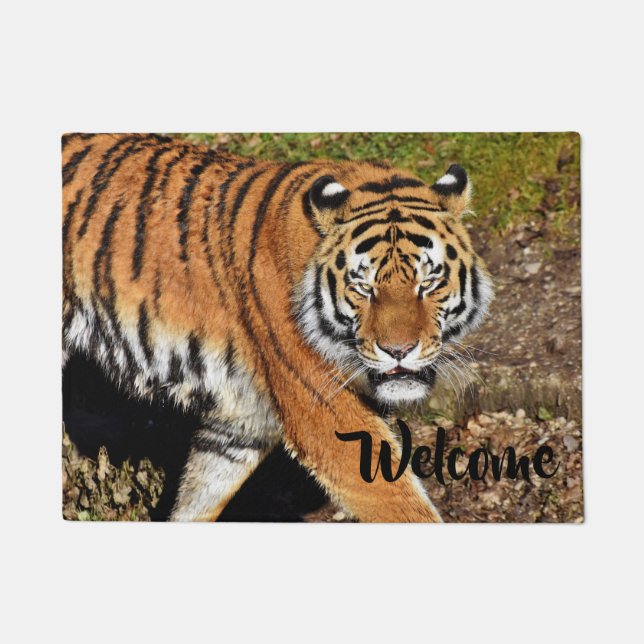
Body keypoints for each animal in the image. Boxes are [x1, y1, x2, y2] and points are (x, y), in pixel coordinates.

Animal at [62, 133, 493, 522]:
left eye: (429, 282)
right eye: (363, 286)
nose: (398, 351)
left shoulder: (240, 421)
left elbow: (197, 498)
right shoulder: (322, 408)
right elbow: (400, 505)